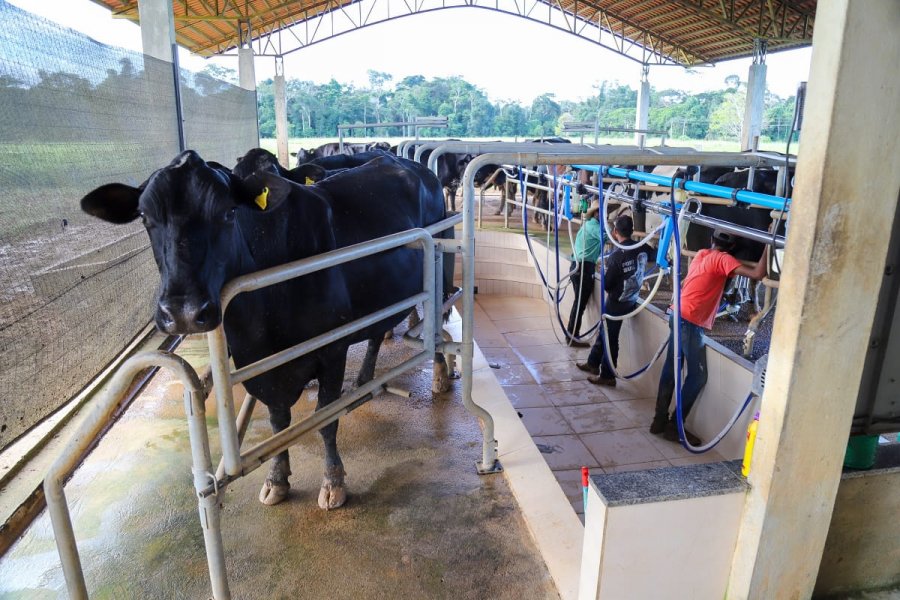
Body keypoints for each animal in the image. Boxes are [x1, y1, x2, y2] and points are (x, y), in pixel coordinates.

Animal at [80, 150, 450, 510]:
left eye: (229, 211)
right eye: (144, 217)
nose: (182, 313)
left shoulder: (332, 350)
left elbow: (326, 420)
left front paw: (333, 482)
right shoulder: (258, 364)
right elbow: (277, 423)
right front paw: (277, 478)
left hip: (443, 265)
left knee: (442, 320)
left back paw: (441, 376)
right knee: (377, 332)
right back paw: (365, 377)